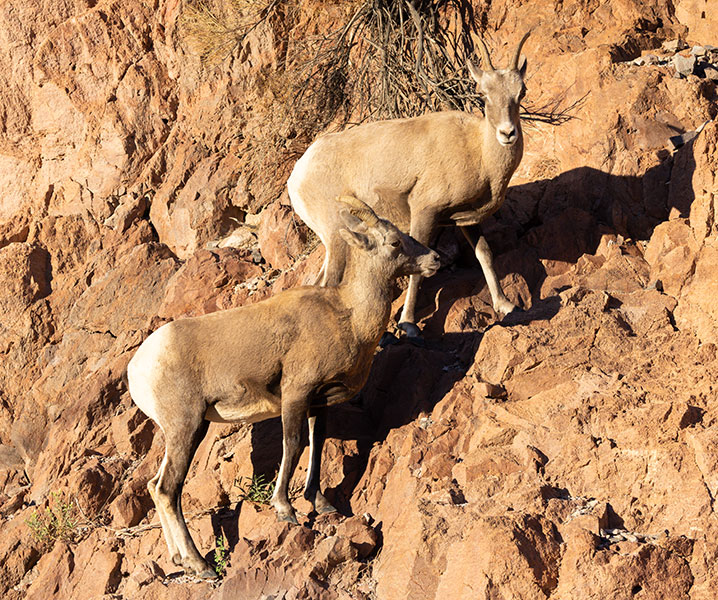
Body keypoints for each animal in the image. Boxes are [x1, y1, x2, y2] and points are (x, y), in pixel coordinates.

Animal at [127, 197, 440, 579]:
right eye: (395, 242)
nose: (435, 259)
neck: (348, 315)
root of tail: (136, 370)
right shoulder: (295, 394)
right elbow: (292, 445)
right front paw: (285, 509)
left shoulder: (318, 403)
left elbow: (316, 444)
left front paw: (321, 503)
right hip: (186, 427)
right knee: (168, 488)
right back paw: (201, 566)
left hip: (182, 431)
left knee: (154, 487)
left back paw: (177, 561)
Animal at [287, 31, 530, 340]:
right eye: (483, 94)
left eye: (521, 93)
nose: (507, 133)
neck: (477, 150)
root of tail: (297, 175)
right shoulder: (424, 212)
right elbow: (418, 270)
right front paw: (408, 325)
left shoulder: (467, 220)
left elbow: (484, 255)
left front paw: (506, 306)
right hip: (336, 238)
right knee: (329, 282)